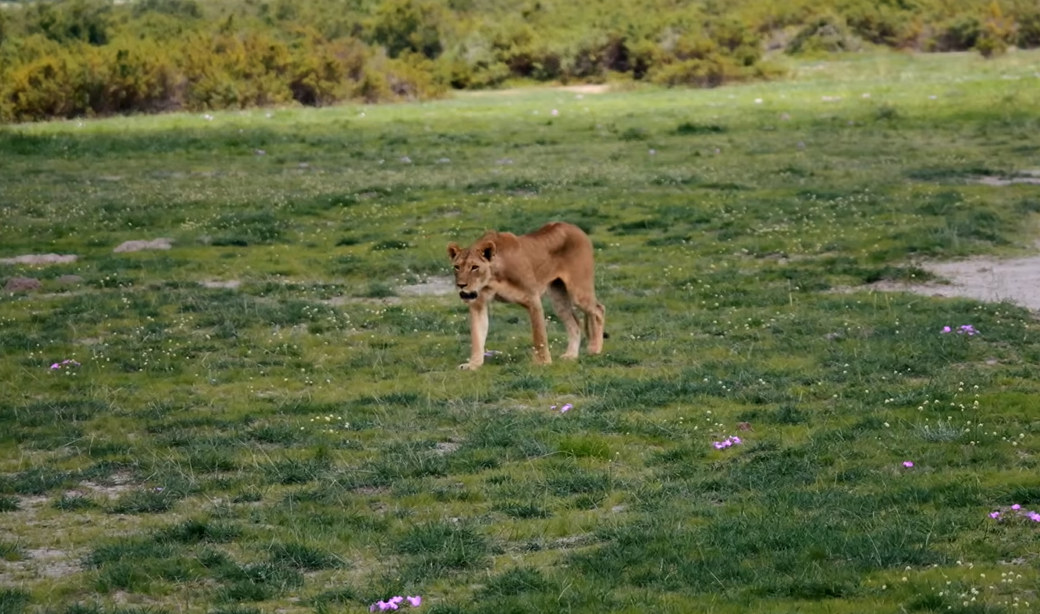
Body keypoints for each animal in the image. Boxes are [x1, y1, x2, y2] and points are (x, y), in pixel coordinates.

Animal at [446, 222, 605, 370]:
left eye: (475, 267)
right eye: (457, 267)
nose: (461, 285)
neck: (492, 278)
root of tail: (574, 227)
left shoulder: (532, 297)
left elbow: (539, 336)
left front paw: (543, 362)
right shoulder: (478, 304)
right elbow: (477, 336)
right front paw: (473, 364)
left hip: (578, 291)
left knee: (598, 309)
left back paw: (595, 349)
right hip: (558, 298)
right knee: (575, 322)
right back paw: (571, 355)